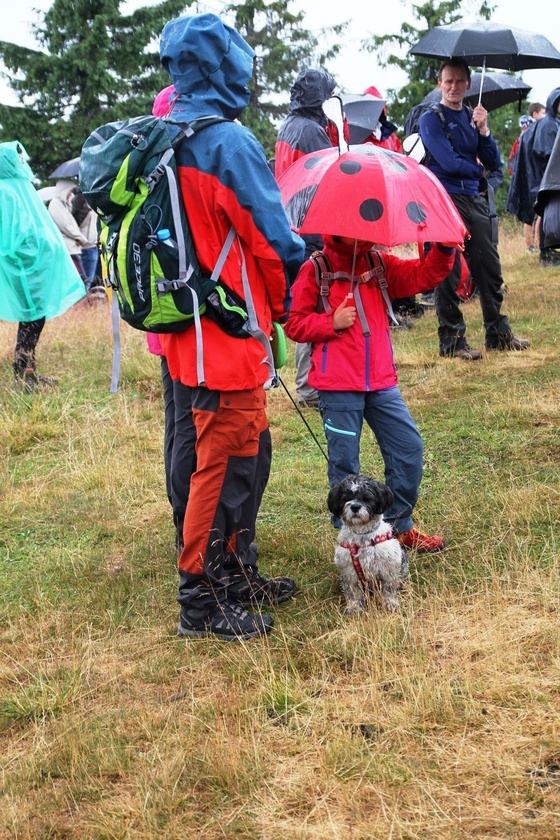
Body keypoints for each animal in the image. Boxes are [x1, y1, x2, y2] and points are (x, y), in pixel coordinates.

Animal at [326, 476, 410, 612]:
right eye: (346, 498)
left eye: (367, 498)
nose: (355, 507)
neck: (362, 537)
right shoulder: (348, 572)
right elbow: (353, 591)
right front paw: (354, 606)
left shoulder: (389, 568)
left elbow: (389, 589)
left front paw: (390, 603)